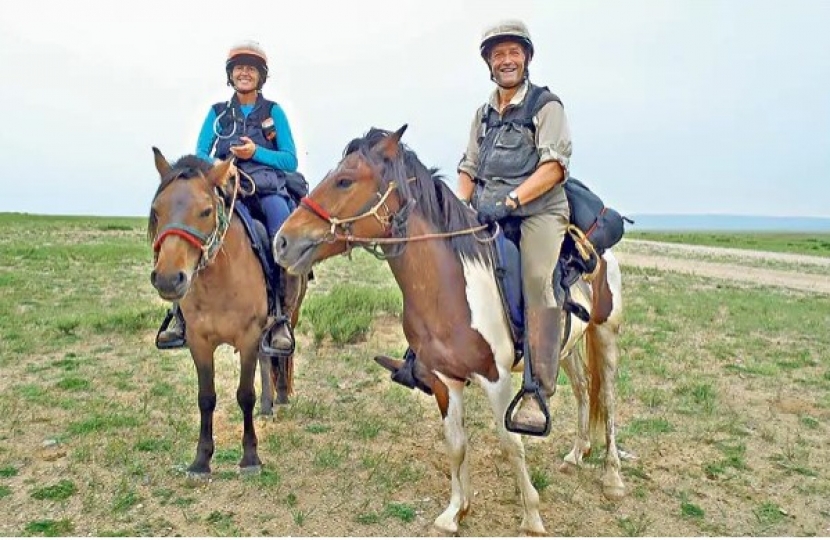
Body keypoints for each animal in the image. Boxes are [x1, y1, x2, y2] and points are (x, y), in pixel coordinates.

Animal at [148, 150, 308, 474]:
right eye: (156, 211)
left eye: (206, 211)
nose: (169, 279)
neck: (218, 281)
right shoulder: (199, 341)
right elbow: (206, 397)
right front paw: (201, 460)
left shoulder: (247, 337)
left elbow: (245, 395)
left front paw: (250, 457)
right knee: (266, 359)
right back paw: (268, 406)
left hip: (289, 315)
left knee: (282, 355)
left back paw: (281, 395)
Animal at [276, 127, 628, 536]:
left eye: (345, 180)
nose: (282, 242)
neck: (451, 286)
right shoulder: (445, 380)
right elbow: (456, 444)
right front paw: (456, 511)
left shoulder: (496, 379)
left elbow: (511, 444)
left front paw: (532, 516)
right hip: (564, 348)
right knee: (584, 390)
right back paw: (576, 454)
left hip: (605, 332)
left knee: (609, 399)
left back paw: (613, 478)